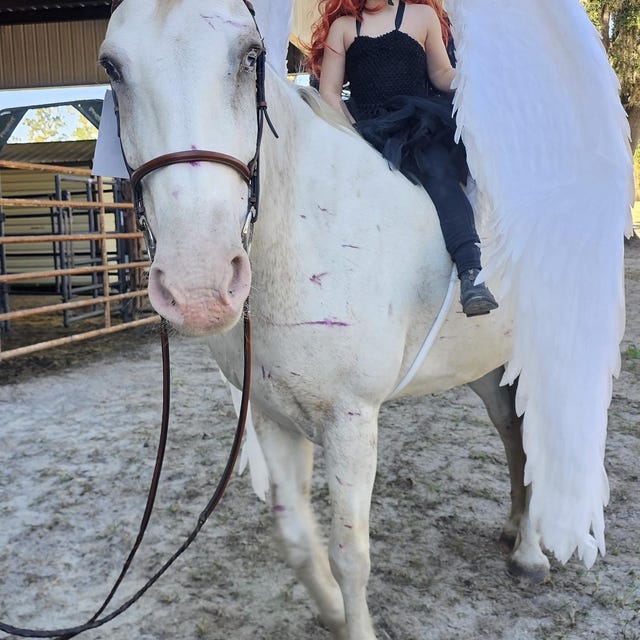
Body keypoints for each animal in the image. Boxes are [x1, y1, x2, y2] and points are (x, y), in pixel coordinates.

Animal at [100, 1, 551, 637]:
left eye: (251, 56)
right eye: (112, 67)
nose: (199, 285)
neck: (308, 230)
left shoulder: (351, 420)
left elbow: (348, 555)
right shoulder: (271, 416)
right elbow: (296, 539)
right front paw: (335, 614)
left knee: (537, 444)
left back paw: (531, 554)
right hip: (488, 368)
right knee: (512, 434)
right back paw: (514, 531)